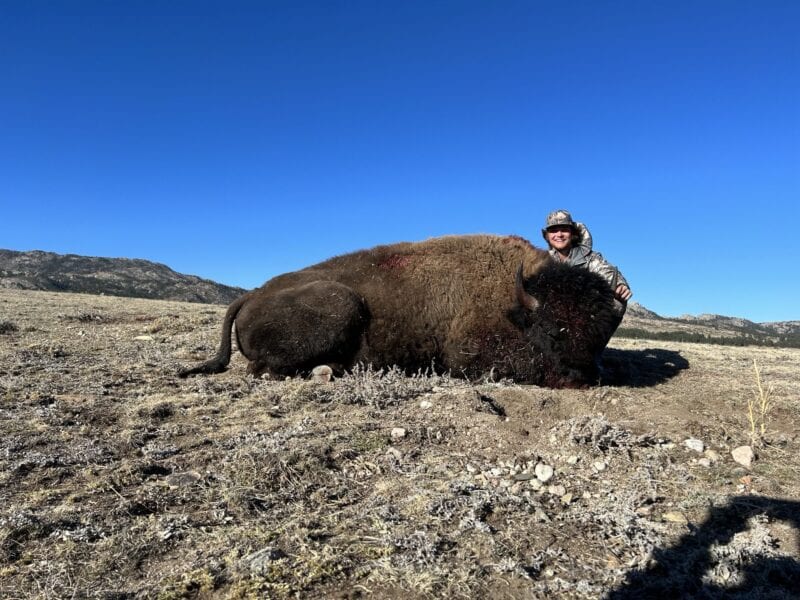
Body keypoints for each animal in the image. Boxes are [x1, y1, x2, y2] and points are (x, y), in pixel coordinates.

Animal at [178, 235, 619, 388]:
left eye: (600, 333)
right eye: (551, 328)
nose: (582, 375)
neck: (517, 301)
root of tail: (252, 295)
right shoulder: (468, 356)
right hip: (342, 304)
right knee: (265, 369)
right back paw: (328, 371)